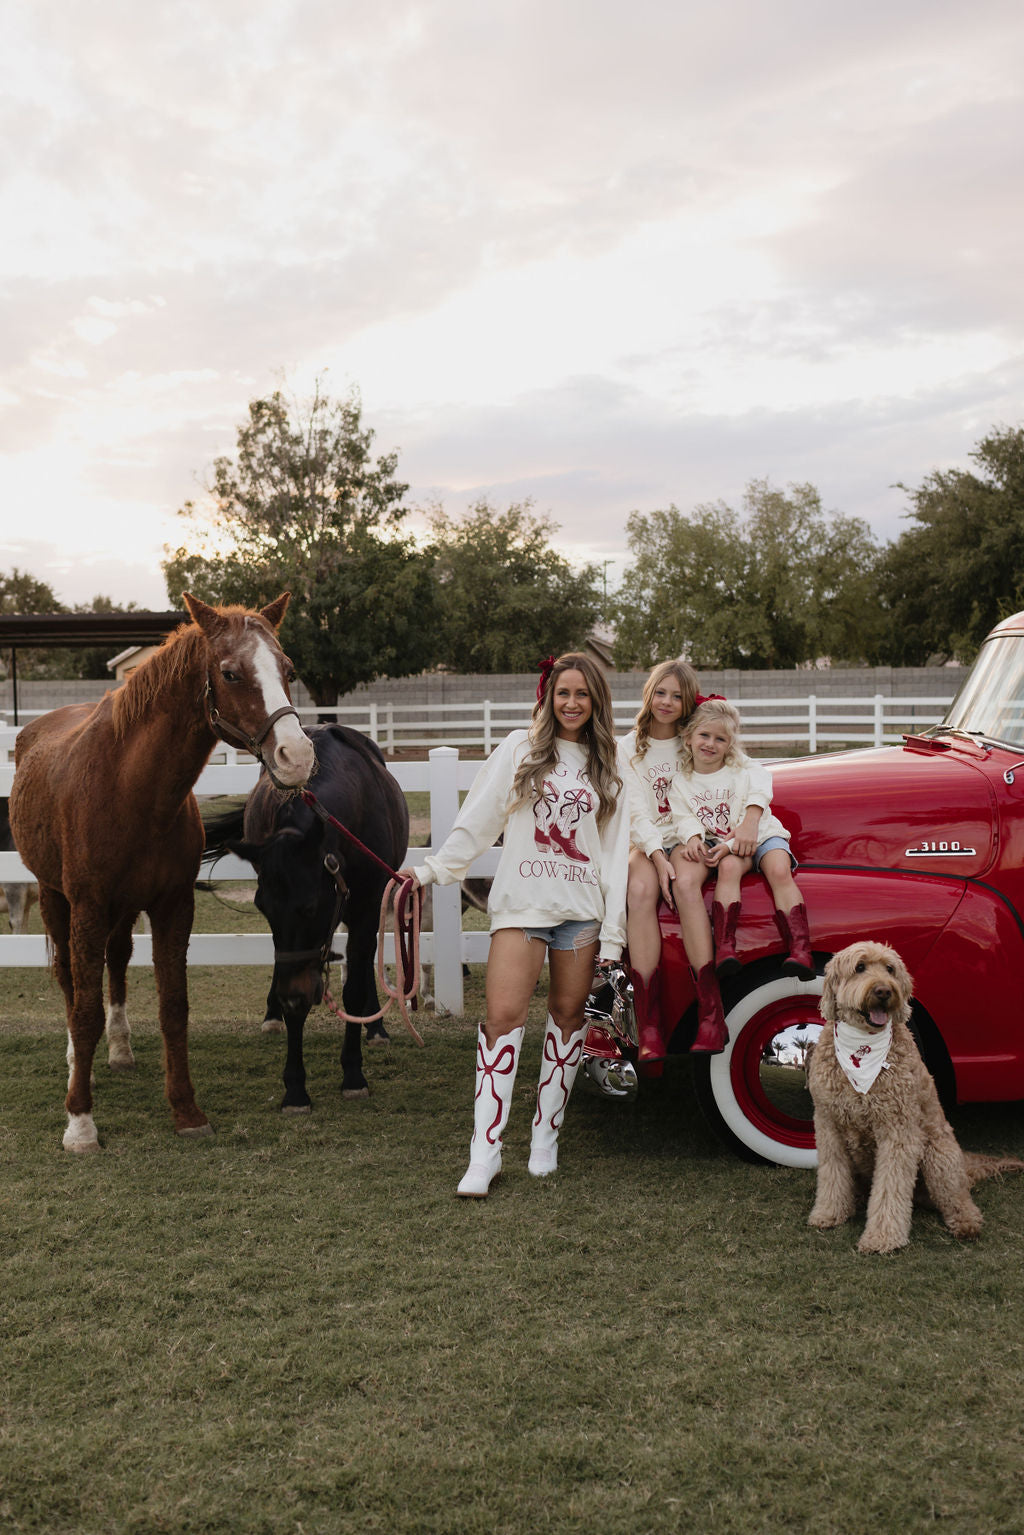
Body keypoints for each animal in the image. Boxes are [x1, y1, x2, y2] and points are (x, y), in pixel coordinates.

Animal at [10, 592, 314, 1148]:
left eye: (288, 669)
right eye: (230, 673)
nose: (296, 756)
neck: (130, 787)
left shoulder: (173, 906)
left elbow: (174, 1007)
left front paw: (186, 1110)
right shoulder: (87, 906)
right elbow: (84, 1009)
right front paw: (80, 1122)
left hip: (122, 911)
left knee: (116, 962)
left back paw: (120, 1050)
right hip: (53, 898)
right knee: (68, 979)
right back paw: (76, 1062)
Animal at [202, 724, 411, 1111]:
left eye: (311, 907)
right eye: (262, 907)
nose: (292, 996)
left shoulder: (366, 907)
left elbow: (353, 987)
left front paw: (353, 1073)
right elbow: (292, 997)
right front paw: (295, 1088)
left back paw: (374, 1026)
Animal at [810, 939, 1024, 1252]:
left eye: (890, 969)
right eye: (860, 967)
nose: (884, 991)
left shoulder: (897, 1130)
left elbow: (891, 1188)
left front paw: (883, 1237)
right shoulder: (828, 1125)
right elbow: (832, 1176)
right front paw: (829, 1213)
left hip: (939, 1156)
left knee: (957, 1198)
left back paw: (966, 1223)